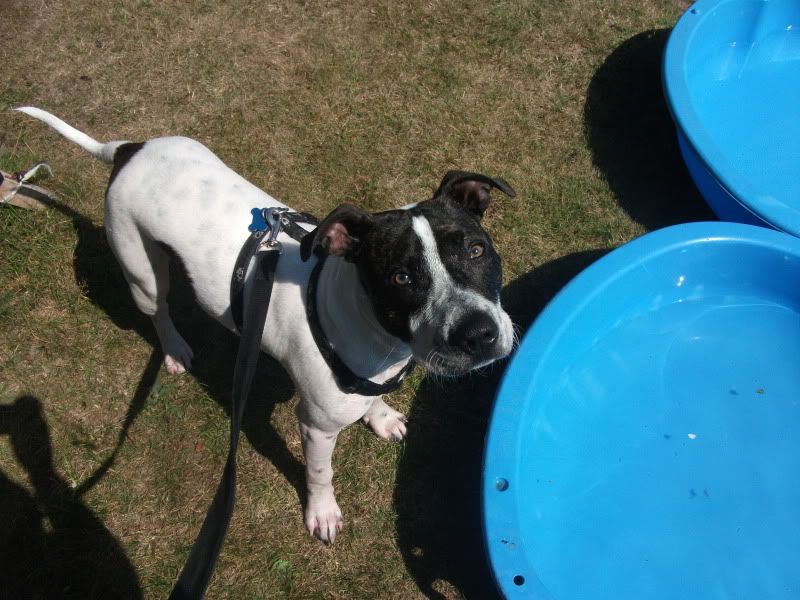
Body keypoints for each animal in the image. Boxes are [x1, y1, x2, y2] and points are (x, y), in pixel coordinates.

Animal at [18, 108, 520, 544]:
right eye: (401, 277)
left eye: (476, 249)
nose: (478, 334)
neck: (380, 336)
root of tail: (129, 150)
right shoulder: (315, 425)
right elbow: (320, 472)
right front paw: (322, 513)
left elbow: (373, 400)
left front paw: (380, 418)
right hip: (142, 271)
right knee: (158, 311)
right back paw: (175, 349)